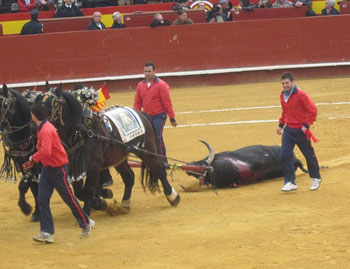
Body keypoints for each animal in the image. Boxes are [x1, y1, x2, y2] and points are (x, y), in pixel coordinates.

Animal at [0, 85, 40, 221]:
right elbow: (33, 188)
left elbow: (25, 184)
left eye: (5, 104)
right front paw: (36, 212)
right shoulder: (20, 160)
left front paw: (25, 207)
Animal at [43, 85, 180, 215]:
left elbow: (88, 190)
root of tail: (141, 113)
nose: (41, 123)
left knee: (159, 170)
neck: (82, 131)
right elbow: (79, 192)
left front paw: (91, 208)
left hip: (146, 150)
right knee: (129, 177)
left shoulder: (93, 166)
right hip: (119, 158)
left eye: (54, 104)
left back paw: (173, 197)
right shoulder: (75, 167)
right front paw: (100, 202)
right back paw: (125, 204)